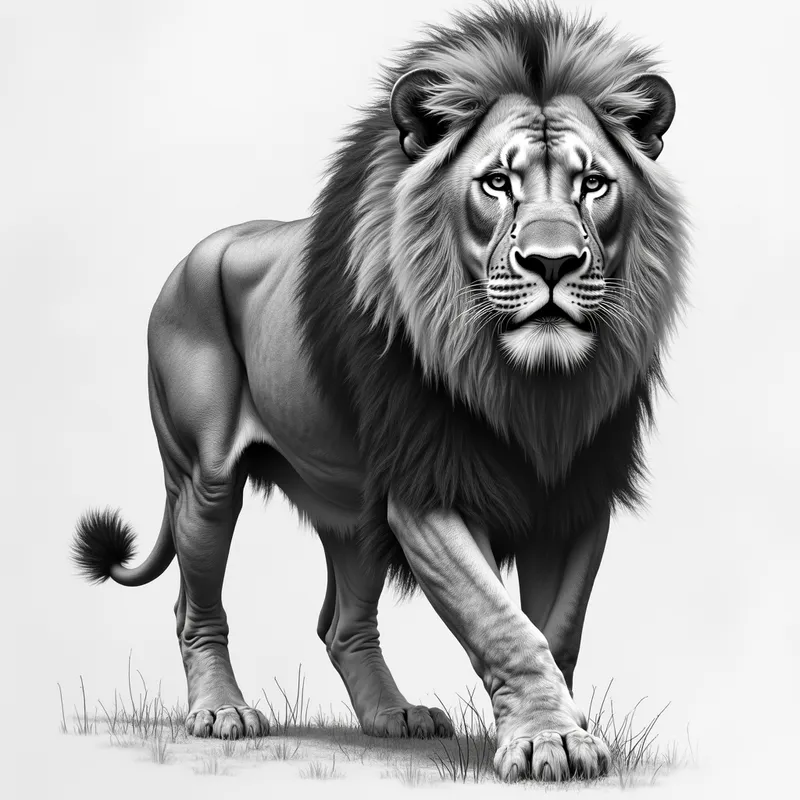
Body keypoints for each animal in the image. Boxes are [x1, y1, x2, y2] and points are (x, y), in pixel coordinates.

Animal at [71, 1, 688, 783]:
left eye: (593, 184)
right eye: (497, 183)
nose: (553, 263)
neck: (529, 387)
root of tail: (193, 255)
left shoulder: (576, 495)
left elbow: (556, 629)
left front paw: (559, 728)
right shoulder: (425, 491)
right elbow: (503, 623)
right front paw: (547, 740)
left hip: (350, 503)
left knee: (341, 623)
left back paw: (394, 716)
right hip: (203, 479)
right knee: (193, 605)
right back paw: (222, 713)